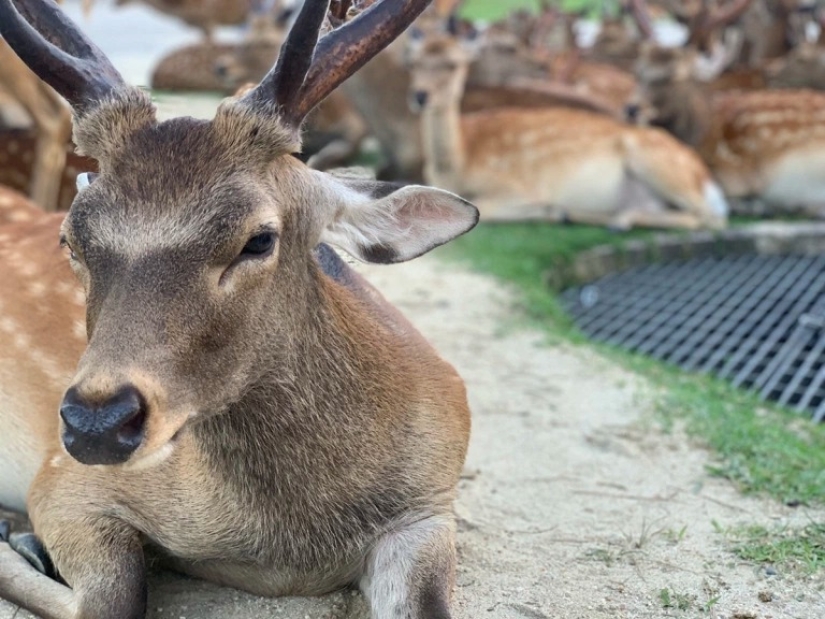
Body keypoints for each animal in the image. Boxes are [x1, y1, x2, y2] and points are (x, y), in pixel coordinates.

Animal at [0, 2, 479, 619]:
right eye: (71, 238)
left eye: (259, 239)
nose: (95, 424)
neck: (285, 545)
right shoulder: (60, 482)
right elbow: (115, 597)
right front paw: (22, 542)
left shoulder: (430, 504)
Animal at [405, 25, 728, 230]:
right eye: (414, 62)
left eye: (453, 64)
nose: (420, 96)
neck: (459, 163)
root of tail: (705, 177)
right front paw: (551, 212)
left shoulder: (519, 186)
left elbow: (492, 209)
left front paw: (542, 210)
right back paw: (578, 215)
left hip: (659, 164)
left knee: (711, 218)